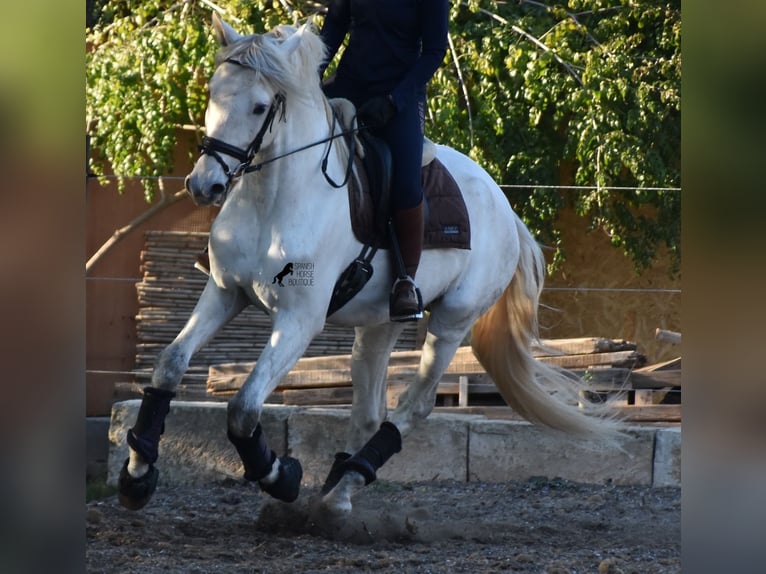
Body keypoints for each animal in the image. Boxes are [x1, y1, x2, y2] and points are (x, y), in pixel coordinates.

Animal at [120, 14, 624, 516]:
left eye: (261, 108)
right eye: (213, 92)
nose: (204, 185)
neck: (275, 200)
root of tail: (504, 206)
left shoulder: (299, 320)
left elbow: (243, 408)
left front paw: (281, 476)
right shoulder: (225, 293)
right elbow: (169, 365)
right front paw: (137, 474)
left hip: (452, 320)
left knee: (414, 405)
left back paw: (346, 482)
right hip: (380, 323)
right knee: (367, 410)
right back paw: (337, 490)